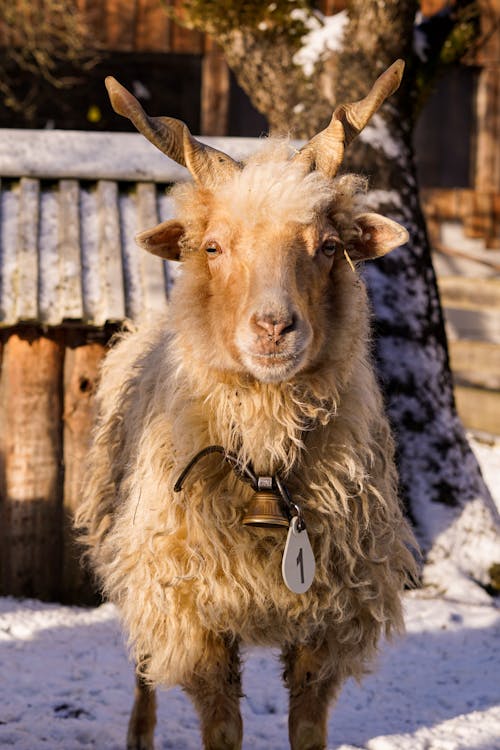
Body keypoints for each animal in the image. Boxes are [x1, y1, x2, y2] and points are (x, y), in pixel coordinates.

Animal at [74, 60, 418, 750]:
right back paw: (139, 732)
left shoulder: (329, 626)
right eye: (213, 247)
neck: (263, 461)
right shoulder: (194, 617)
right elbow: (221, 730)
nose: (273, 328)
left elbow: (307, 731)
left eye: (329, 246)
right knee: (144, 669)